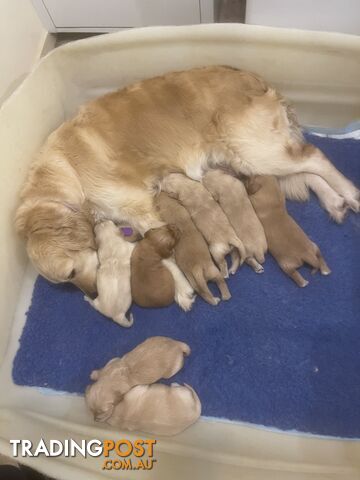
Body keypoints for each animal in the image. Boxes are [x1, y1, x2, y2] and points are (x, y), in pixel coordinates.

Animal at [16, 65, 360, 294]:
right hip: (250, 155)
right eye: (68, 280)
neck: (67, 170)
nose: (93, 294)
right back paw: (334, 202)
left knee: (314, 156)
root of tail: (254, 77)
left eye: (72, 271)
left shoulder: (138, 205)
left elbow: (162, 245)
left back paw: (349, 194)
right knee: (305, 168)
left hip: (255, 150)